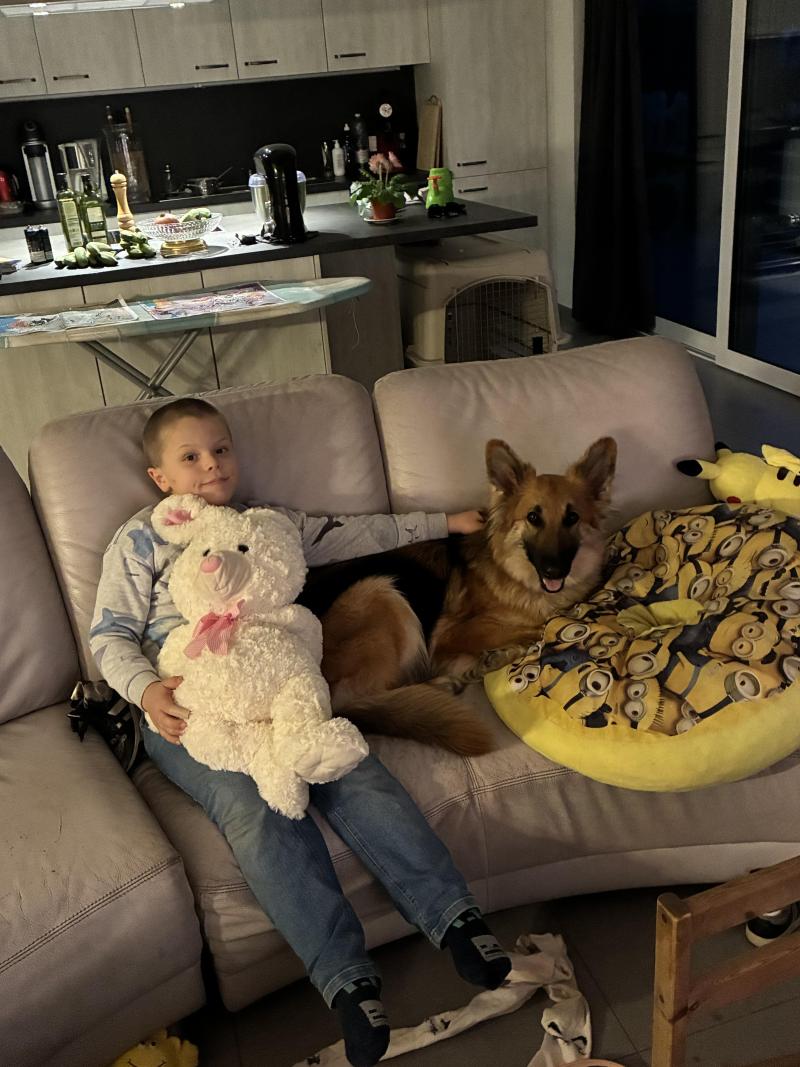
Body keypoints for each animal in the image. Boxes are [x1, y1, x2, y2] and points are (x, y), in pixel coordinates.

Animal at [298, 437, 617, 756]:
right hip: (379, 592)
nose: (555, 570)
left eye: (572, 517)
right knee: (359, 698)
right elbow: (541, 626)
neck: (516, 576)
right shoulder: (451, 634)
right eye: (533, 517)